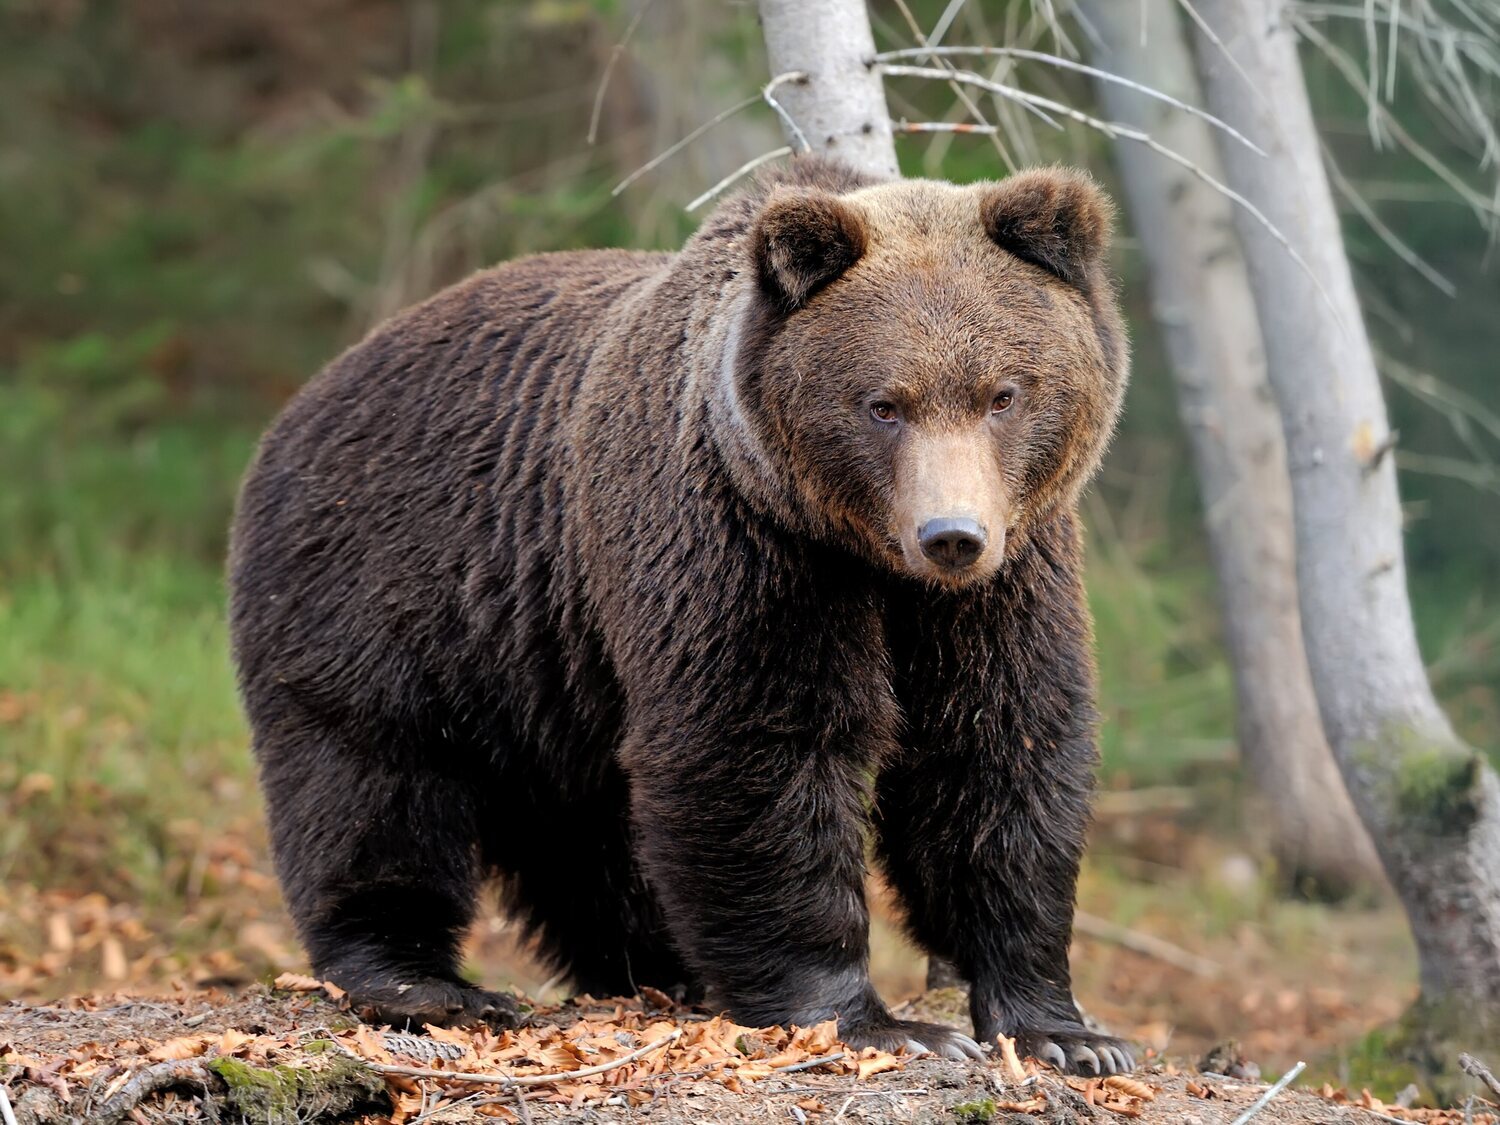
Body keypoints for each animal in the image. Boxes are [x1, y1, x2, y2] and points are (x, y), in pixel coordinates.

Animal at [228, 156, 1128, 1074]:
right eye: (884, 403)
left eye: (1002, 394)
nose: (952, 534)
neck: (870, 560)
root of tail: (307, 398)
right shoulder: (738, 543)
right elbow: (754, 747)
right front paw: (876, 1019)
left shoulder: (1006, 582)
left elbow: (999, 753)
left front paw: (1065, 1031)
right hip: (383, 588)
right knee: (372, 779)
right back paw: (419, 979)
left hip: (549, 661)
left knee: (589, 833)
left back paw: (659, 967)